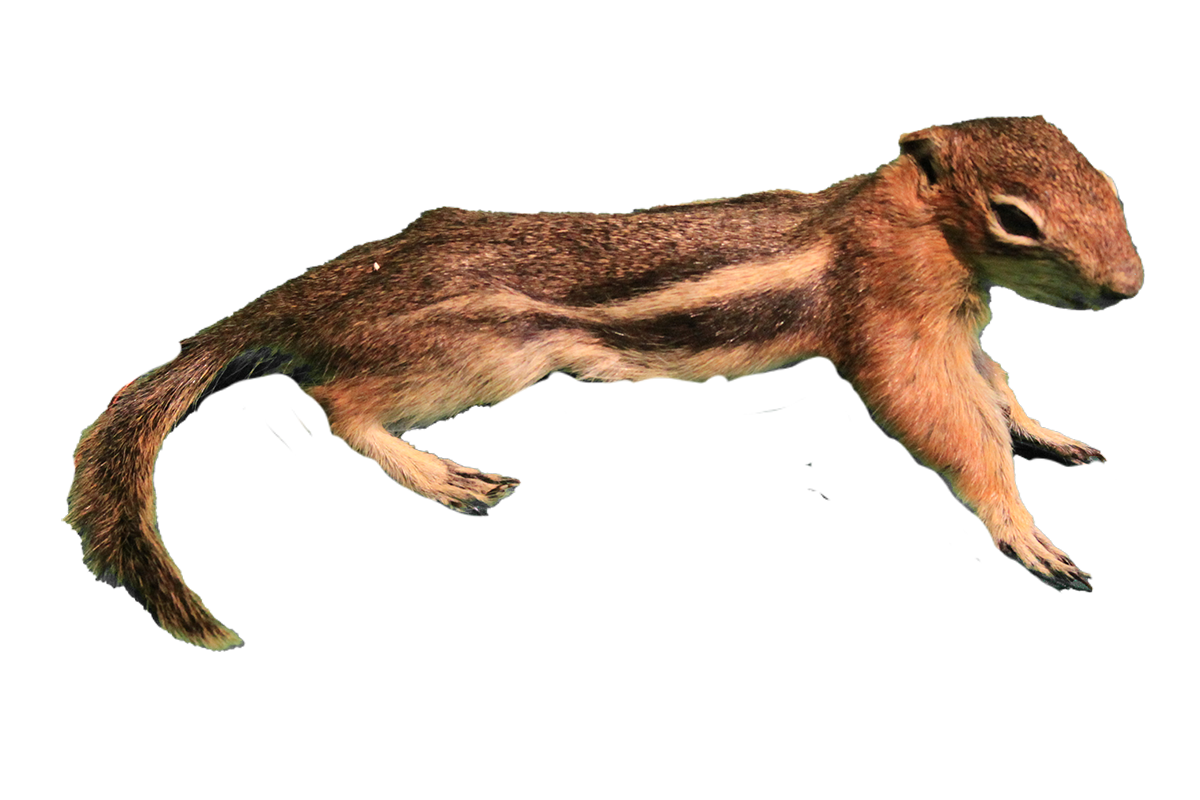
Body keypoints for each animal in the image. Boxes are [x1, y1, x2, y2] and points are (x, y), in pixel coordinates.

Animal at [62, 115, 1143, 650]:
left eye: (1106, 178)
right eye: (1016, 215)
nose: (1129, 286)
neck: (903, 221)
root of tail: (327, 288)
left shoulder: (956, 333)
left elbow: (996, 391)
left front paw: (1050, 436)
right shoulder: (892, 329)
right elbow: (947, 426)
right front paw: (1022, 527)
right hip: (480, 355)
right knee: (332, 406)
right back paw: (437, 475)